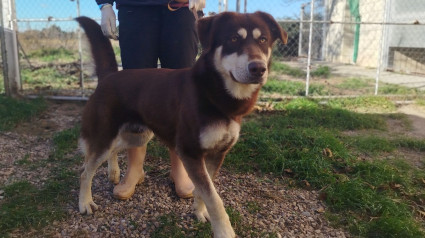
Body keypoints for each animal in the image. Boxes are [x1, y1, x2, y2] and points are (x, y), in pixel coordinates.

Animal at [77, 11, 288, 238]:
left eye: (263, 40)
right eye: (233, 39)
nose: (258, 68)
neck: (214, 94)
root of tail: (108, 76)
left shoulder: (216, 153)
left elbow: (205, 190)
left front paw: (199, 212)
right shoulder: (190, 152)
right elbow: (214, 198)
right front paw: (224, 231)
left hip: (138, 135)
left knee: (114, 150)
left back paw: (113, 172)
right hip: (106, 135)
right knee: (86, 170)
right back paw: (85, 202)